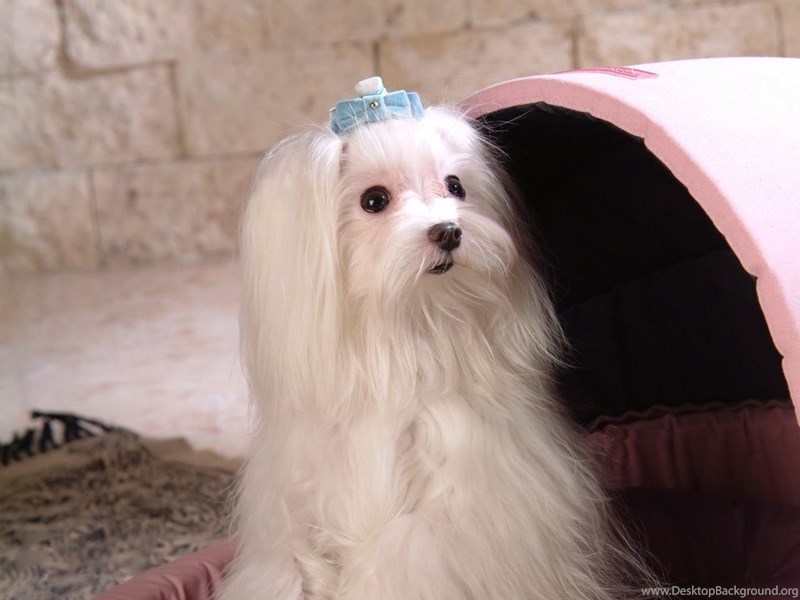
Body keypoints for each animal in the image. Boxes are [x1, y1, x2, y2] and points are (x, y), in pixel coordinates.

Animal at [219, 78, 652, 599]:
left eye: (455, 186)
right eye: (373, 200)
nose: (447, 230)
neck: (408, 332)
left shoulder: (460, 512)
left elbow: (406, 560)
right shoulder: (294, 513)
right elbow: (289, 568)